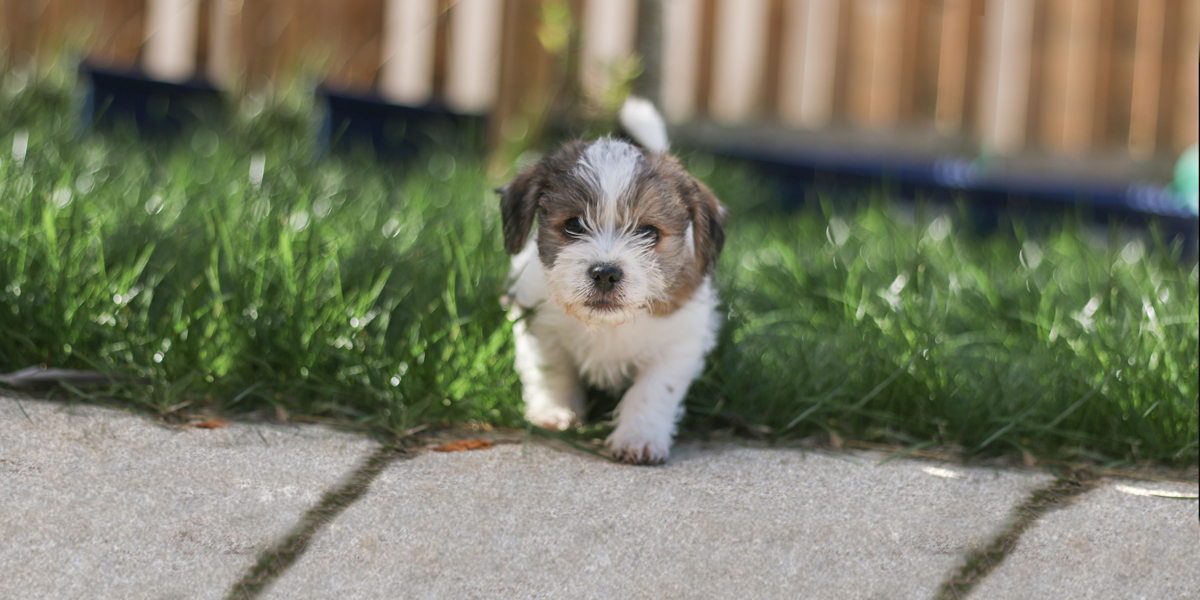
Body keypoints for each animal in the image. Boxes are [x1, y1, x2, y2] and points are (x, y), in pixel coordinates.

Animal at [494, 97, 724, 463]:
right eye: (574, 225)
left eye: (649, 232)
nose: (605, 272)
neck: (606, 325)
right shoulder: (538, 326)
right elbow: (552, 372)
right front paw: (555, 412)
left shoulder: (679, 344)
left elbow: (653, 390)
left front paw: (638, 437)